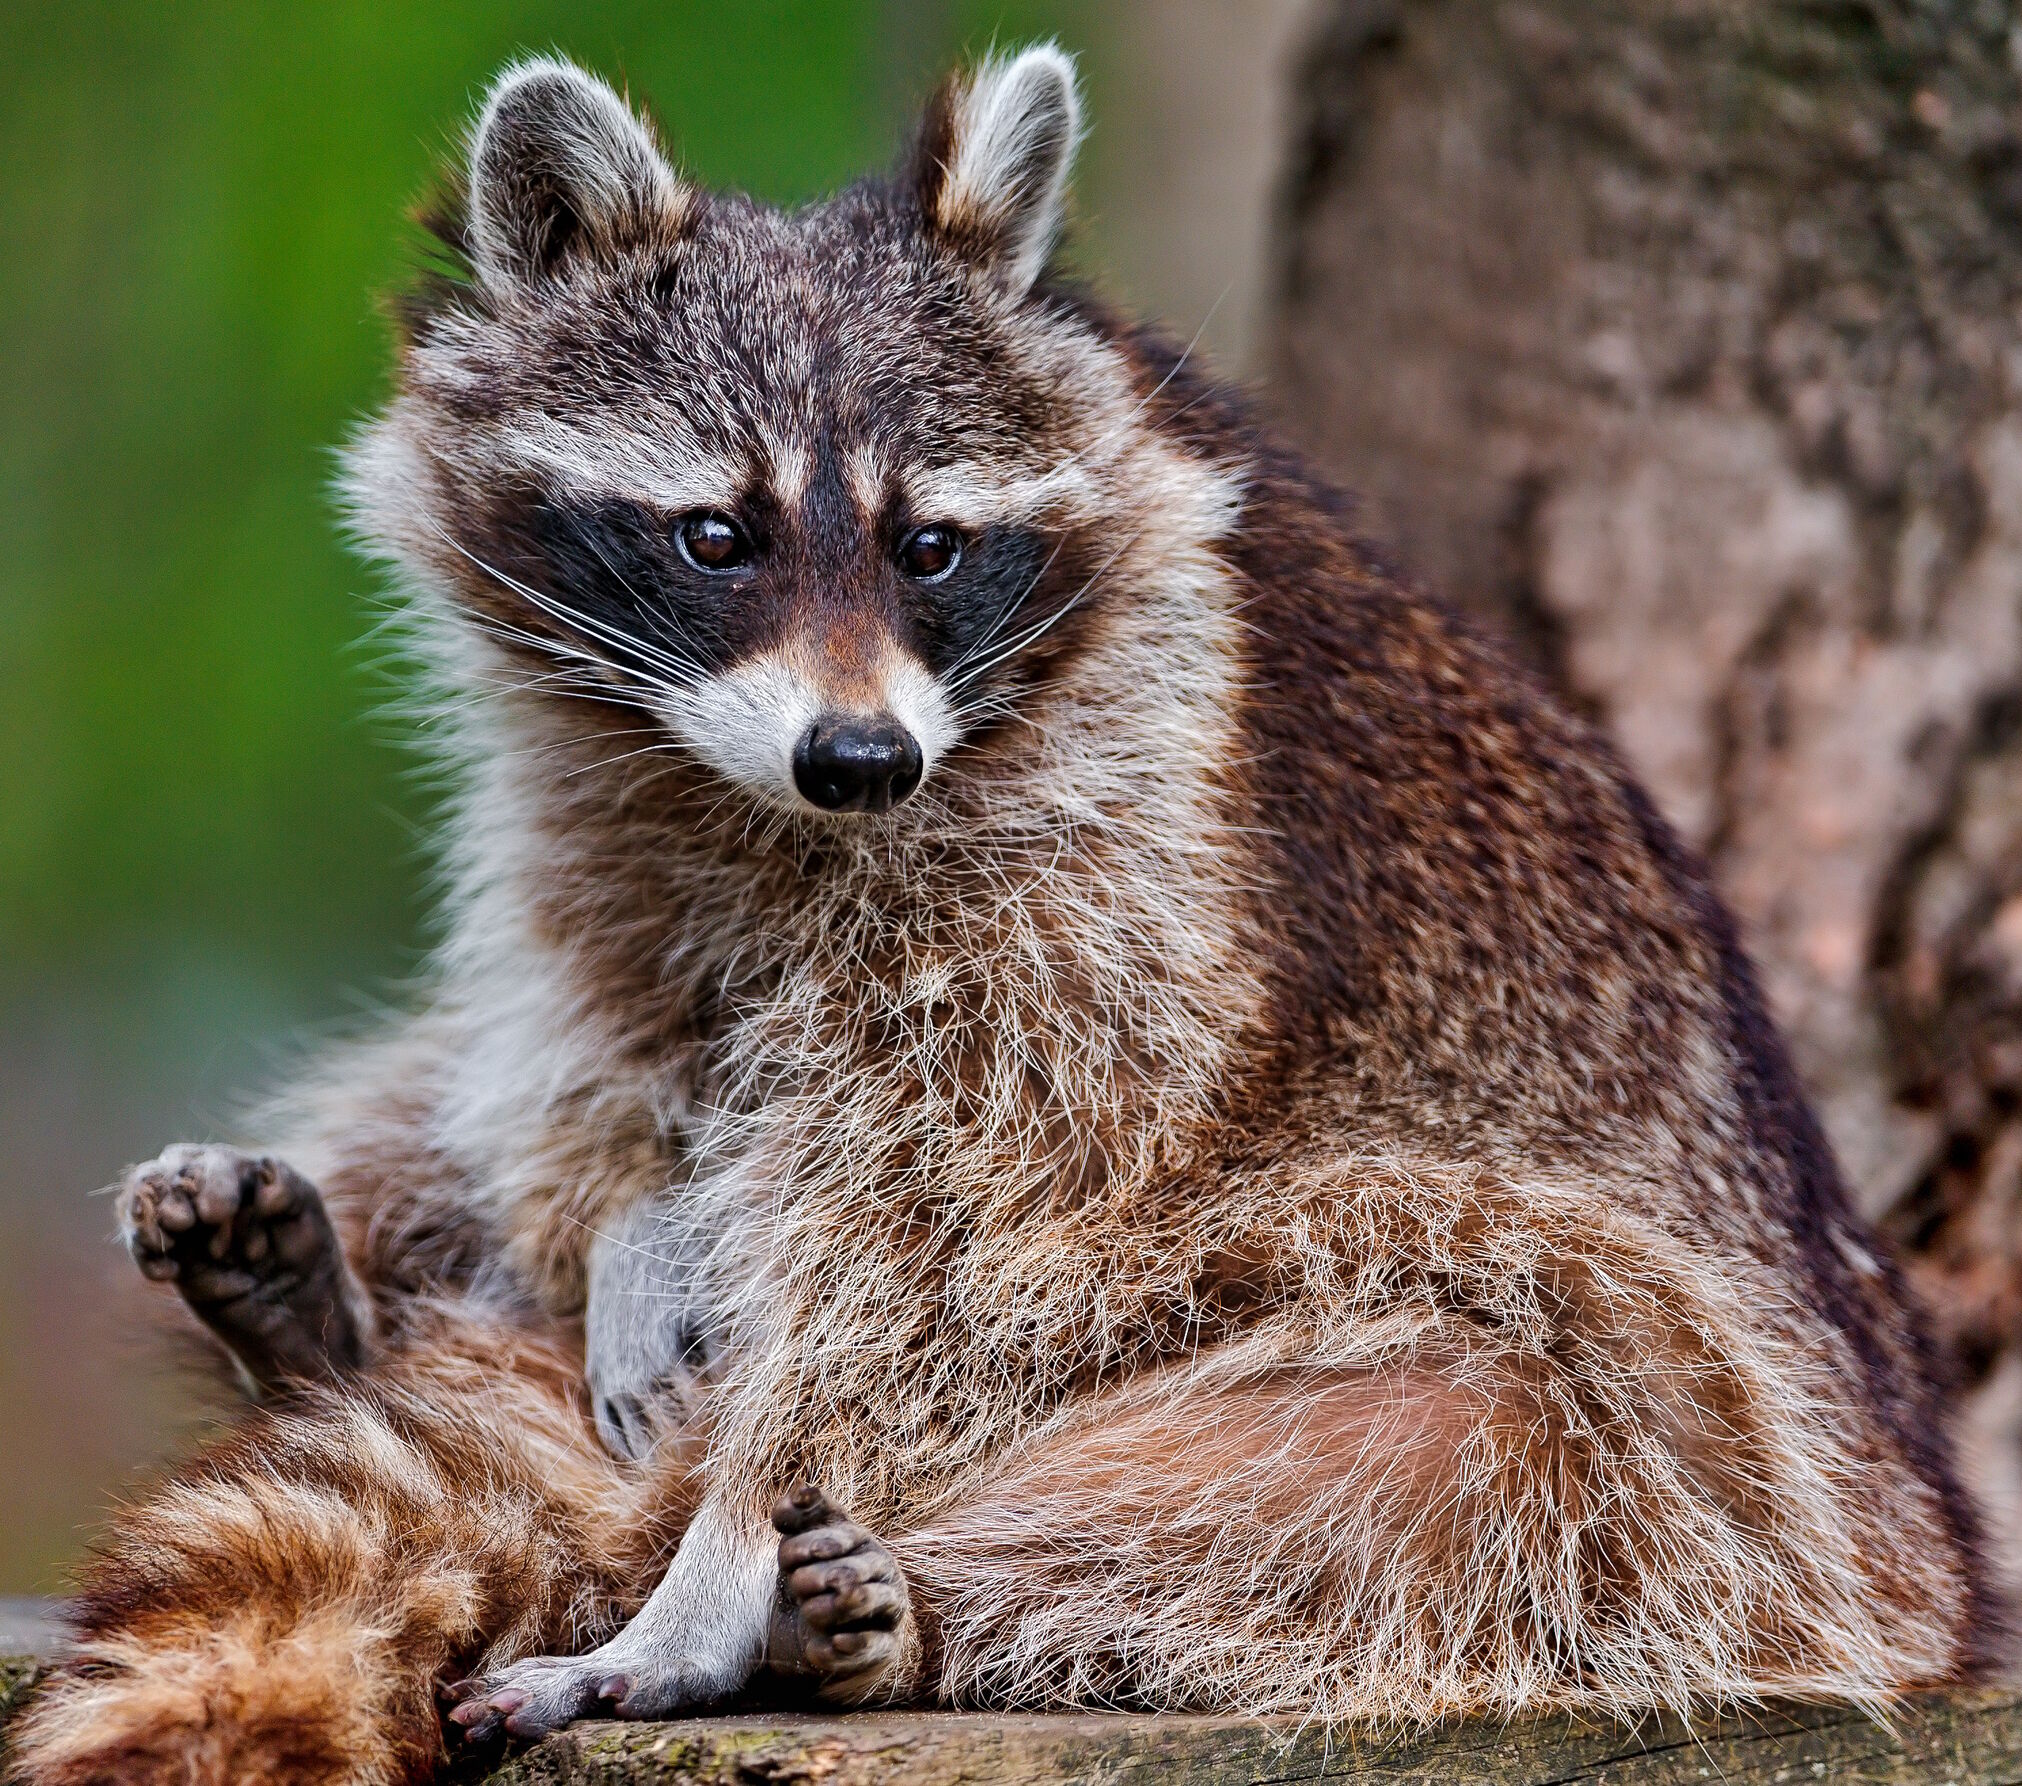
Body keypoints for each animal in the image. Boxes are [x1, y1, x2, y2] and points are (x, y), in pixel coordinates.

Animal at [7, 41, 1997, 1786]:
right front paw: (630, 1222)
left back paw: (833, 1599)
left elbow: (954, 1213)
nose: (860, 757)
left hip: (1730, 1452)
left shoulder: (1119, 845)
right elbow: (605, 1030)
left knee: (1493, 1430)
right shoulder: (591, 789)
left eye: (930, 546)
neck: (754, 797)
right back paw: (322, 1311)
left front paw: (720, 1542)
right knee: (431, 1092)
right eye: (716, 535)